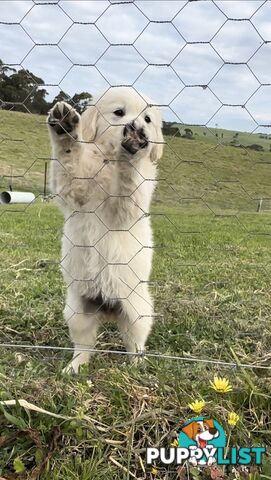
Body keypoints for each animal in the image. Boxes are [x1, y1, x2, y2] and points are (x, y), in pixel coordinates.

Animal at [47, 86, 164, 374]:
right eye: (119, 113)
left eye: (147, 119)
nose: (137, 128)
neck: (110, 161)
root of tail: (107, 309)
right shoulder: (75, 191)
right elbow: (68, 159)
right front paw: (66, 128)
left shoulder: (127, 208)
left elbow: (128, 182)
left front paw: (133, 149)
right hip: (77, 312)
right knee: (84, 345)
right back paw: (75, 367)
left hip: (138, 311)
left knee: (135, 343)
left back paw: (137, 366)